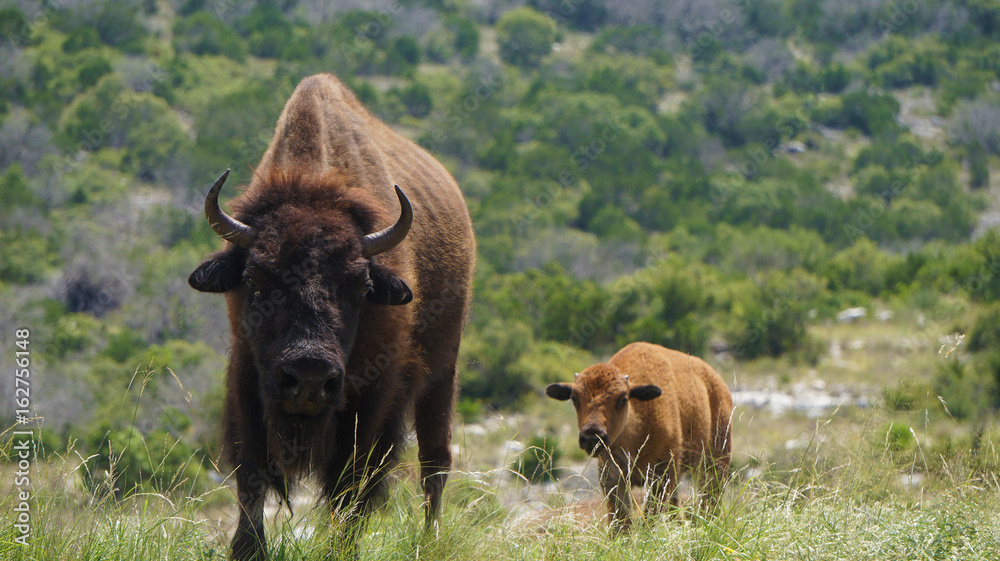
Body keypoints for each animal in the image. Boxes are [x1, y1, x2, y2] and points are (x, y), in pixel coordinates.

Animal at [188, 74, 476, 560]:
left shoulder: (372, 397)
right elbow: (251, 473)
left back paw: (430, 541)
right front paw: (247, 549)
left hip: (442, 373)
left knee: (434, 462)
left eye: (359, 287)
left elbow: (350, 485)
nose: (308, 376)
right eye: (255, 280)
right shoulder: (247, 376)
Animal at [548, 342, 736, 528]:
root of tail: (719, 384)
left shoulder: (662, 474)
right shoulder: (613, 477)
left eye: (622, 399)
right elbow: (621, 522)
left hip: (714, 462)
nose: (592, 436)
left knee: (709, 500)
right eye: (574, 398)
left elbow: (650, 517)